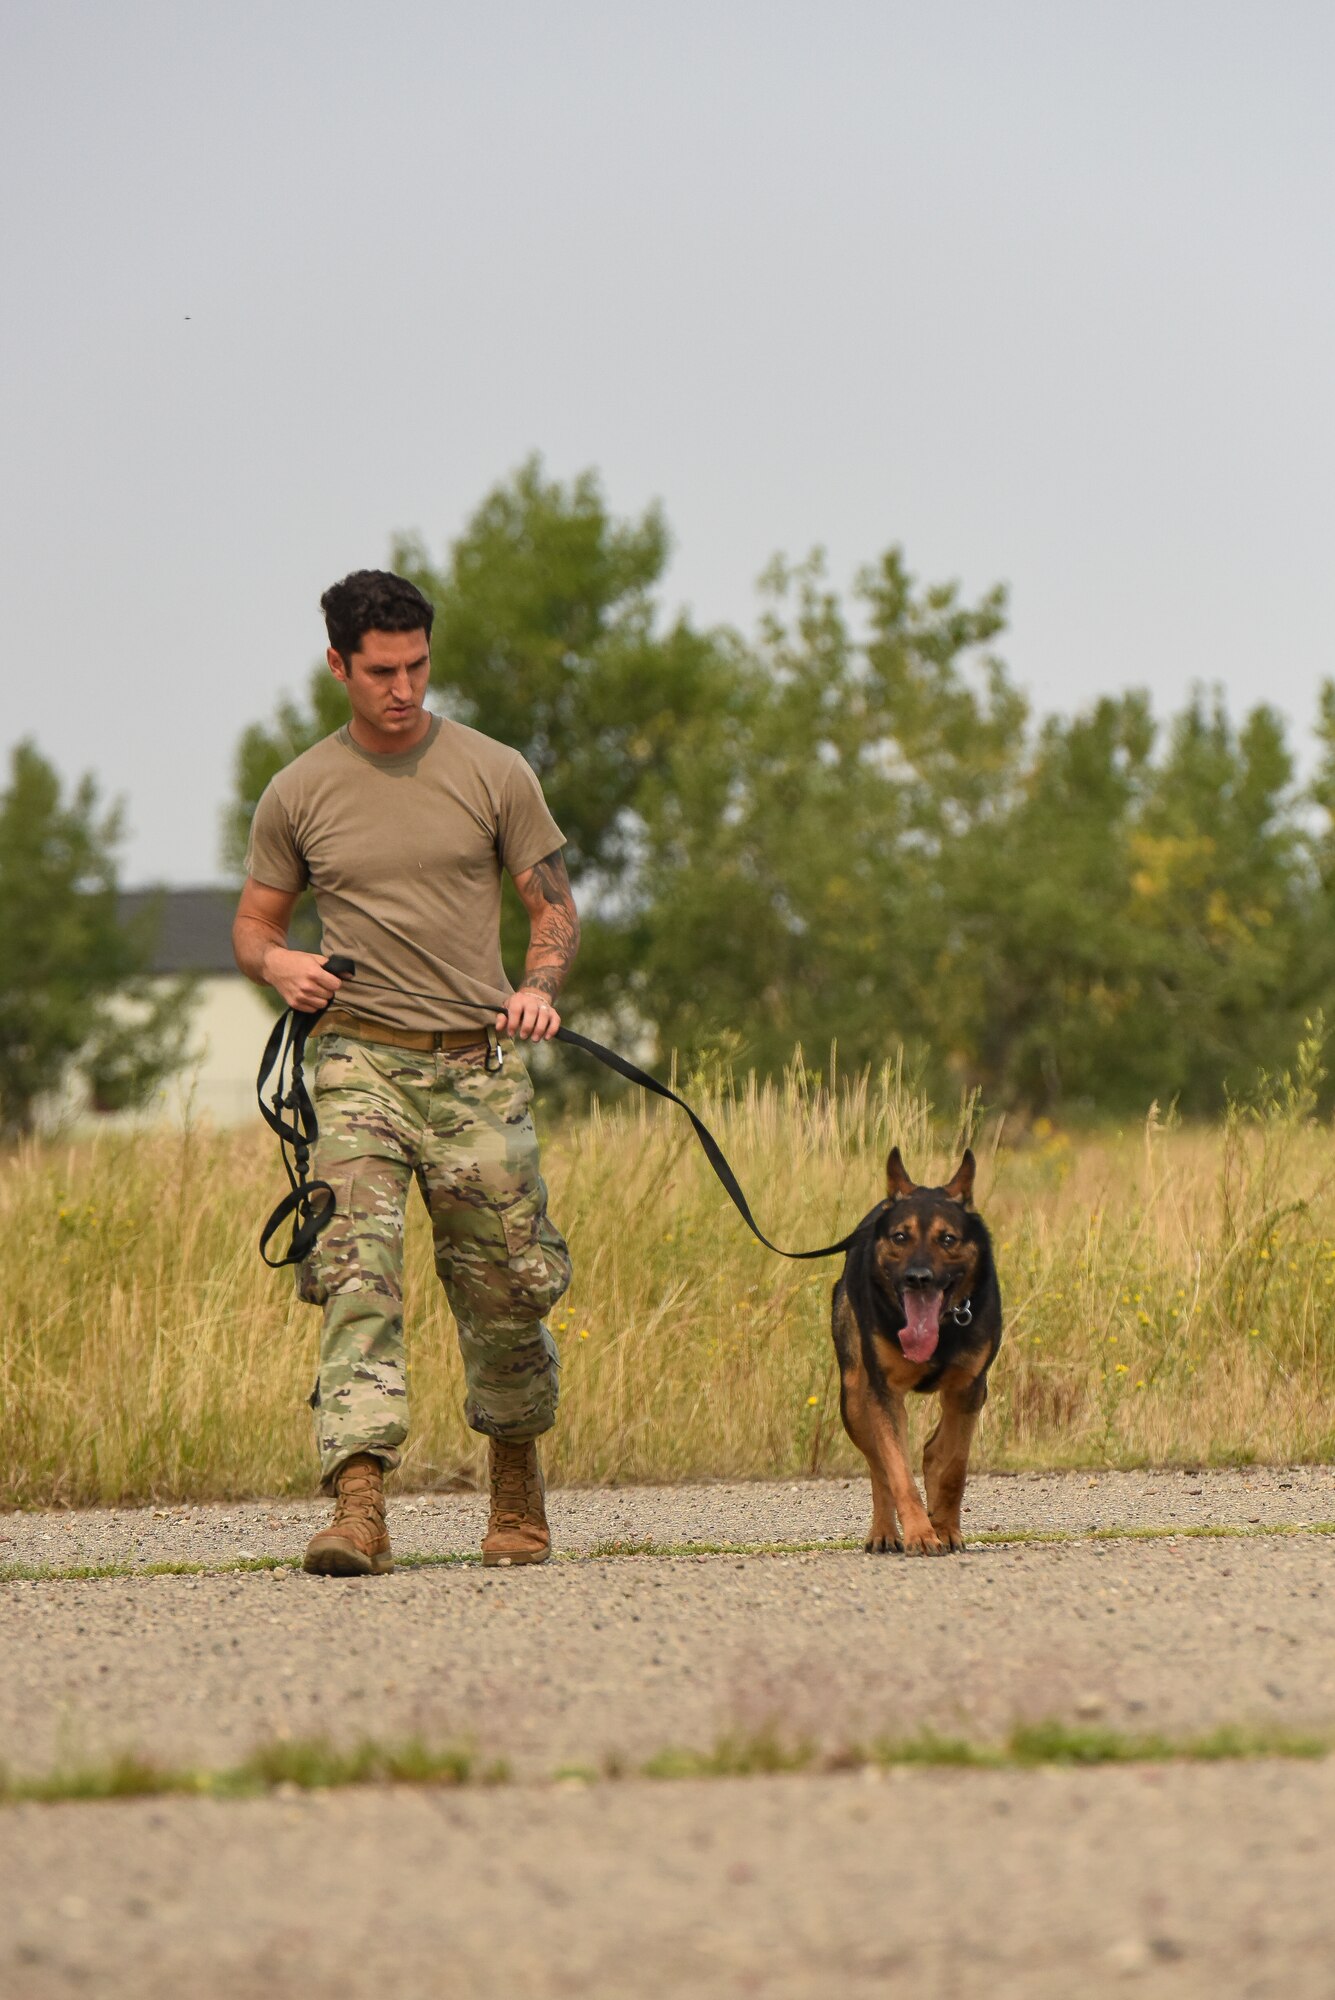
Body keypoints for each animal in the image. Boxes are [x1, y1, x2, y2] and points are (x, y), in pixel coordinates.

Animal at [835, 1152, 999, 1552]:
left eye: (948, 1239)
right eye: (900, 1237)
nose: (918, 1277)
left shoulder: (969, 1389)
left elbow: (954, 1466)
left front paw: (946, 1528)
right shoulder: (884, 1393)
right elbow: (896, 1471)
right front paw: (921, 1533)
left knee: (933, 1450)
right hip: (854, 1398)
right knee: (879, 1467)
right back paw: (884, 1532)